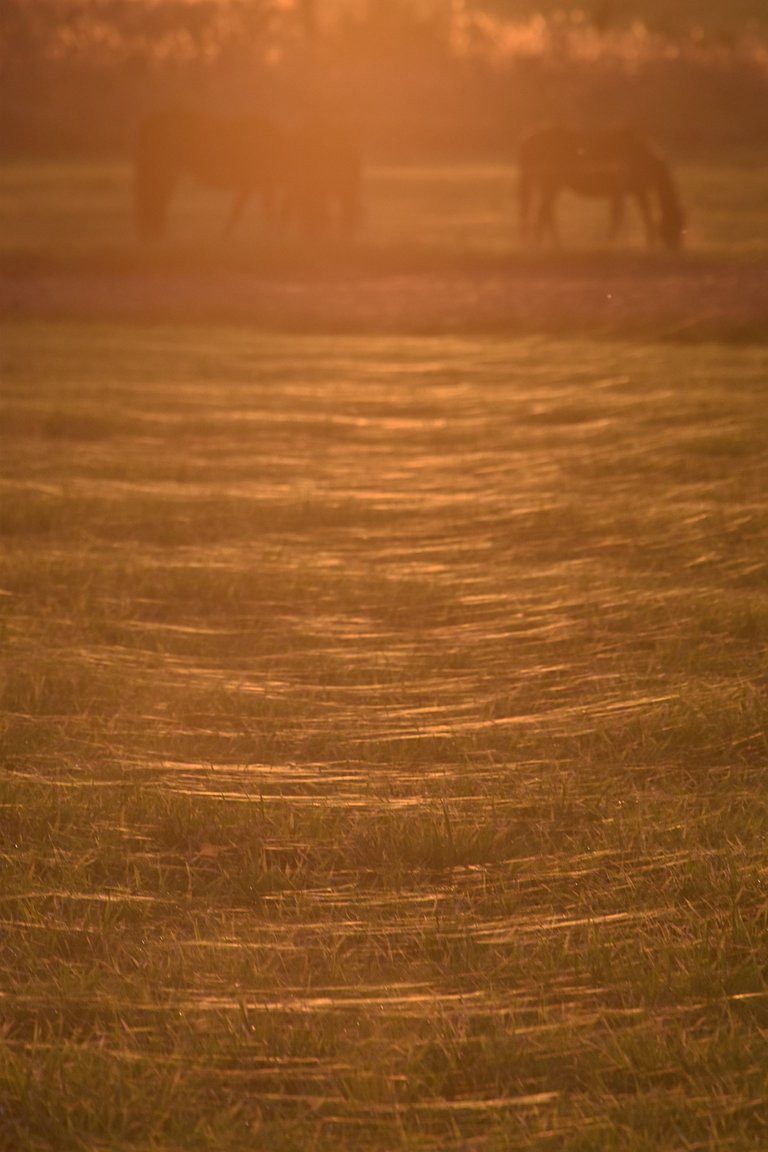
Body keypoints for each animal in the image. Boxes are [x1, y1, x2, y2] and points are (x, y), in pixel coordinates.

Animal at [135, 108, 363, 243]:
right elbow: (261, 210)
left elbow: (244, 210)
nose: (316, 235)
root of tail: (147, 124)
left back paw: (154, 235)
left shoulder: (257, 185)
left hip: (163, 168)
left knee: (154, 198)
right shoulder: (260, 185)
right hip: (165, 167)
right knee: (156, 197)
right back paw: (156, 235)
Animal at [520, 126, 686, 252]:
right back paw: (547, 244)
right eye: (676, 223)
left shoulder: (624, 193)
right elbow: (641, 216)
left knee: (545, 212)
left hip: (550, 186)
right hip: (551, 185)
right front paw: (647, 244)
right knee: (544, 212)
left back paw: (552, 244)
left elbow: (621, 215)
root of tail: (529, 140)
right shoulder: (637, 192)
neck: (643, 157)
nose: (675, 248)